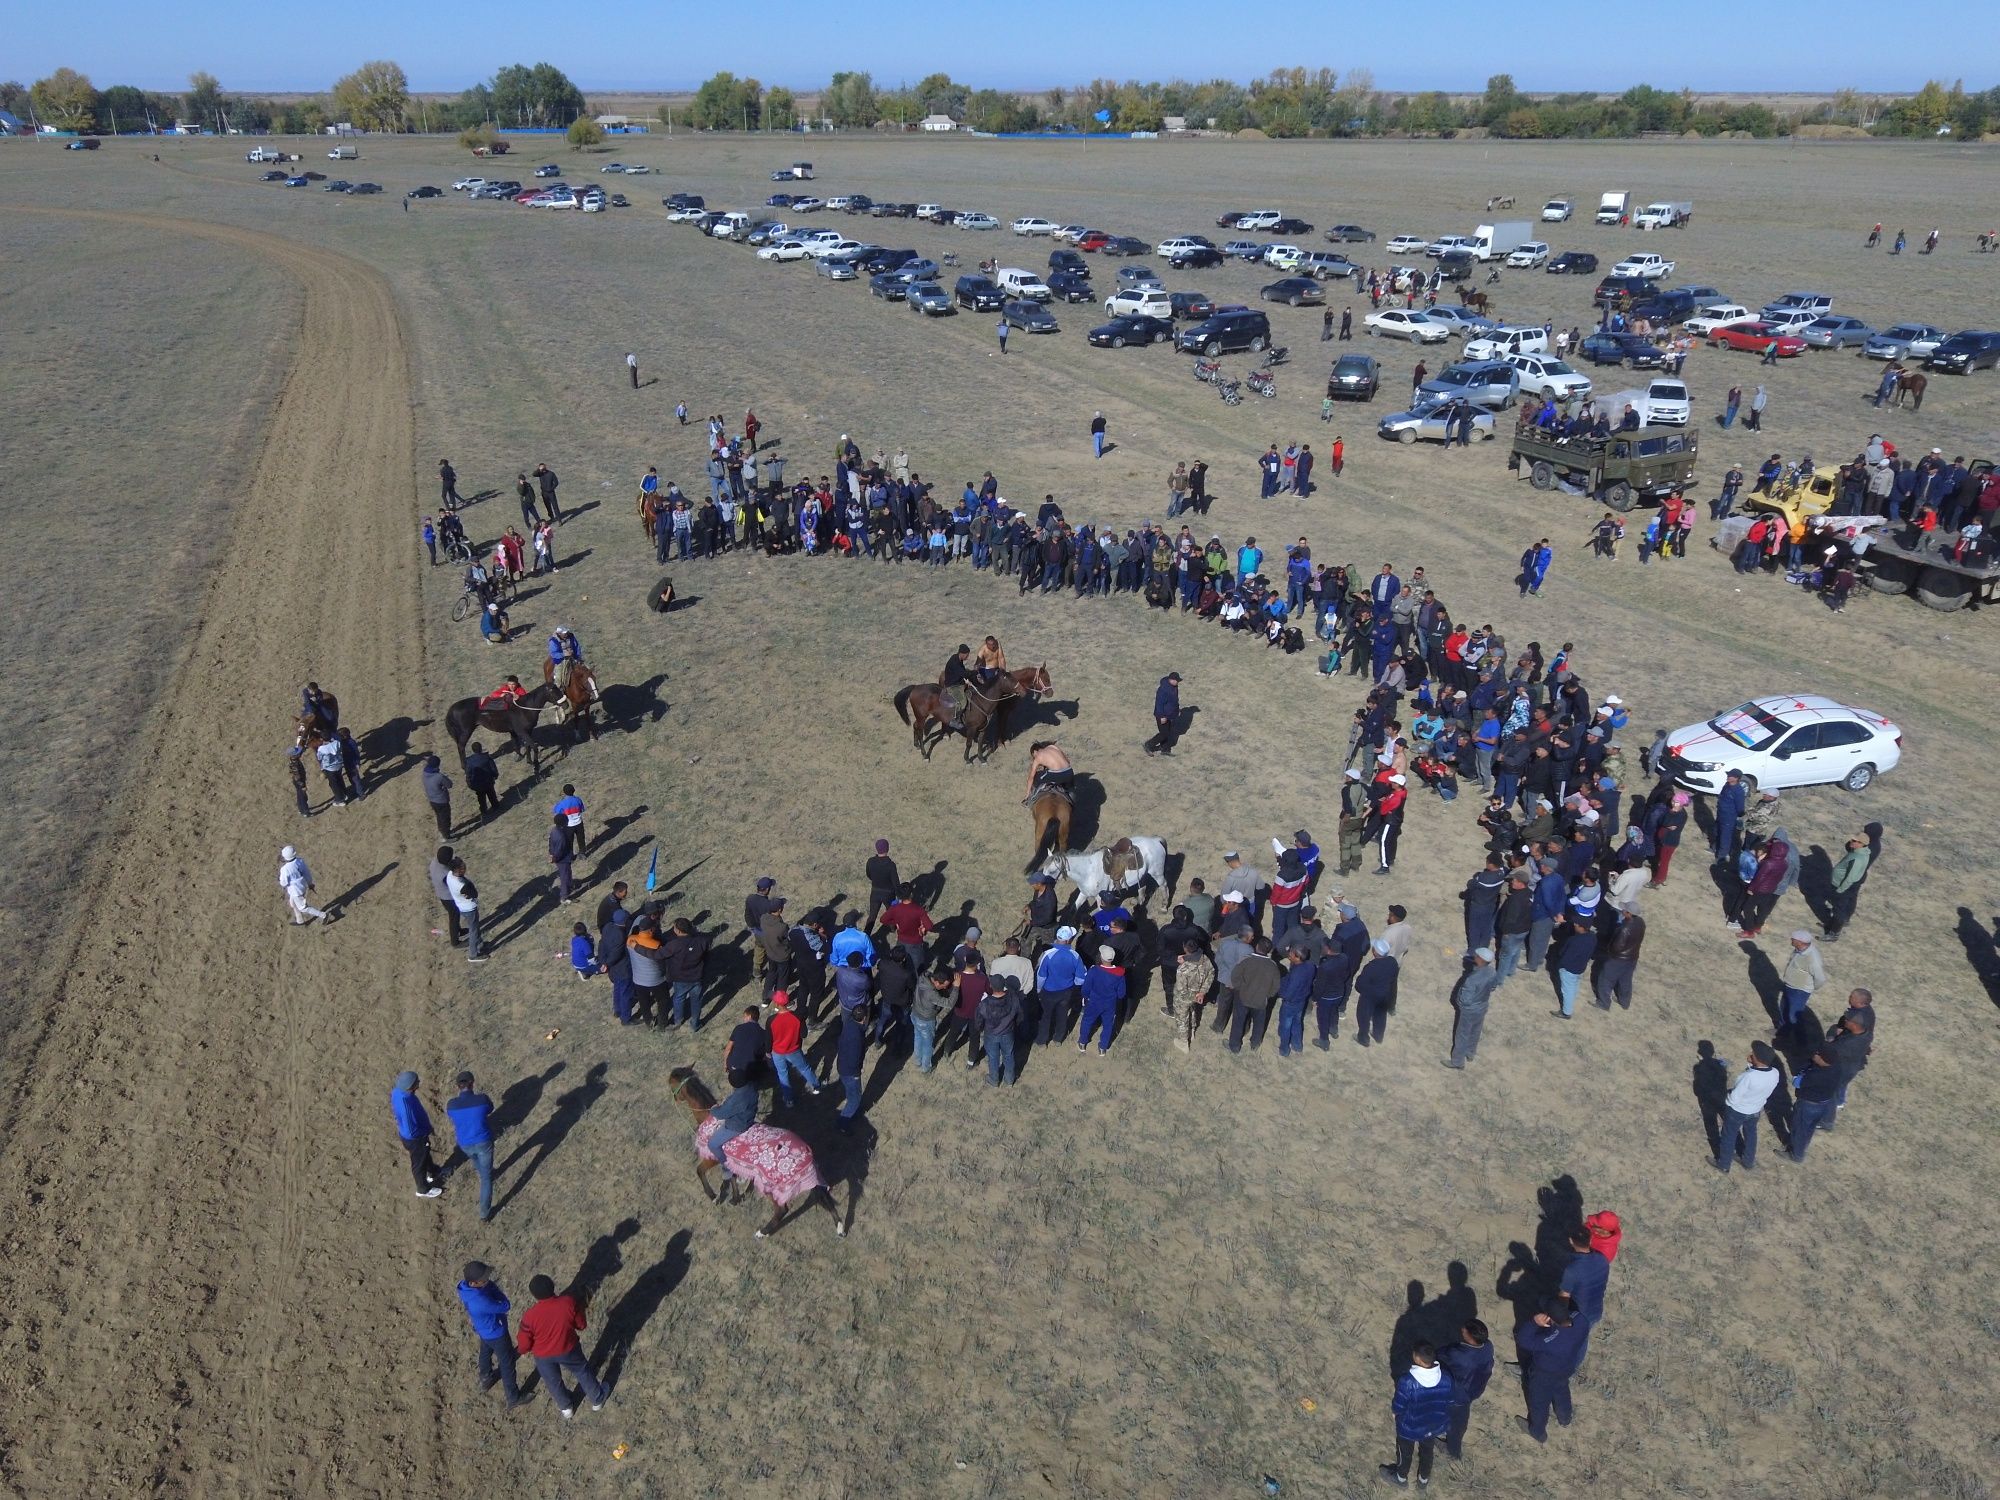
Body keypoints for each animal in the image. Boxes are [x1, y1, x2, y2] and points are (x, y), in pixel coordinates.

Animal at [672, 1072, 844, 1248]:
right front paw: (735, 1198)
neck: (710, 1118)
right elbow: (732, 1177)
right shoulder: (731, 1162)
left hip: (771, 1189)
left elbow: (700, 1171)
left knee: (782, 1210)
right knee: (823, 1196)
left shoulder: (712, 1158)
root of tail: (807, 1155)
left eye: (672, 1083)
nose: (675, 1098)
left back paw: (762, 1232)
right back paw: (840, 1228)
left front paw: (714, 1197)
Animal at [888, 668, 1048, 764]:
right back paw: (925, 755)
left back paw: (916, 745)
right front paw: (967, 759)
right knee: (921, 732)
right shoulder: (972, 728)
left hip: (920, 717)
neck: (982, 701)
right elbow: (969, 743)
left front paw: (982, 759)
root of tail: (915, 687)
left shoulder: (983, 728)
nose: (1023, 692)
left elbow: (981, 742)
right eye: (1011, 680)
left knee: (915, 726)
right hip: (922, 716)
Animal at [1040, 836, 1168, 916]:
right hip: (1142, 875)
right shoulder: (1084, 893)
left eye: (1051, 871)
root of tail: (1156, 841)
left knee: (1164, 886)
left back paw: (1164, 907)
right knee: (1142, 886)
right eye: (1043, 870)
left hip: (1157, 874)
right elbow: (1074, 909)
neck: (1087, 871)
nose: (1042, 887)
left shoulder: (1099, 897)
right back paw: (1140, 905)